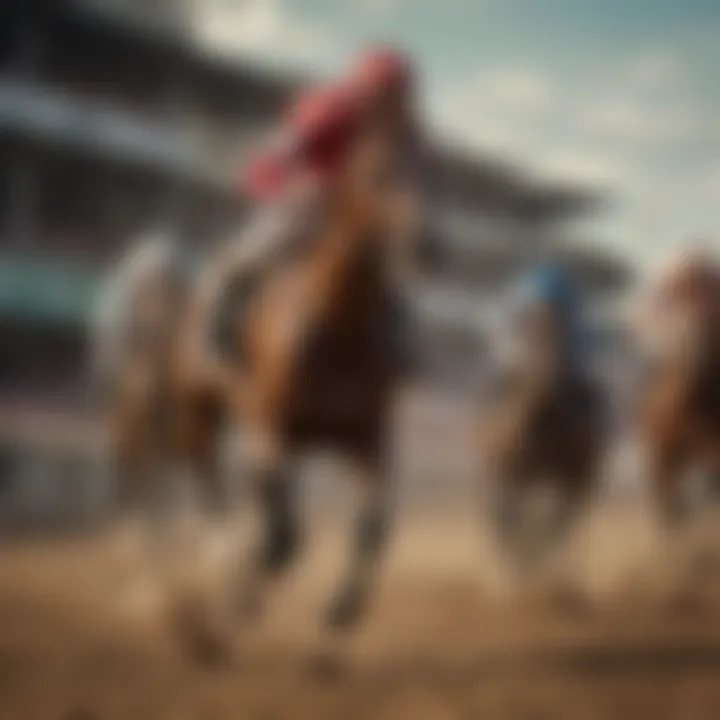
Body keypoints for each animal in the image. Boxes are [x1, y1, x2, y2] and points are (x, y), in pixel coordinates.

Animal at [478, 296, 608, 564]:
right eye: (532, 329)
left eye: (561, 332)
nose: (551, 368)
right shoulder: (509, 471)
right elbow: (509, 516)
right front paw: (522, 557)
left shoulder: (573, 474)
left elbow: (551, 524)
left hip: (578, 476)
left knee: (561, 519)